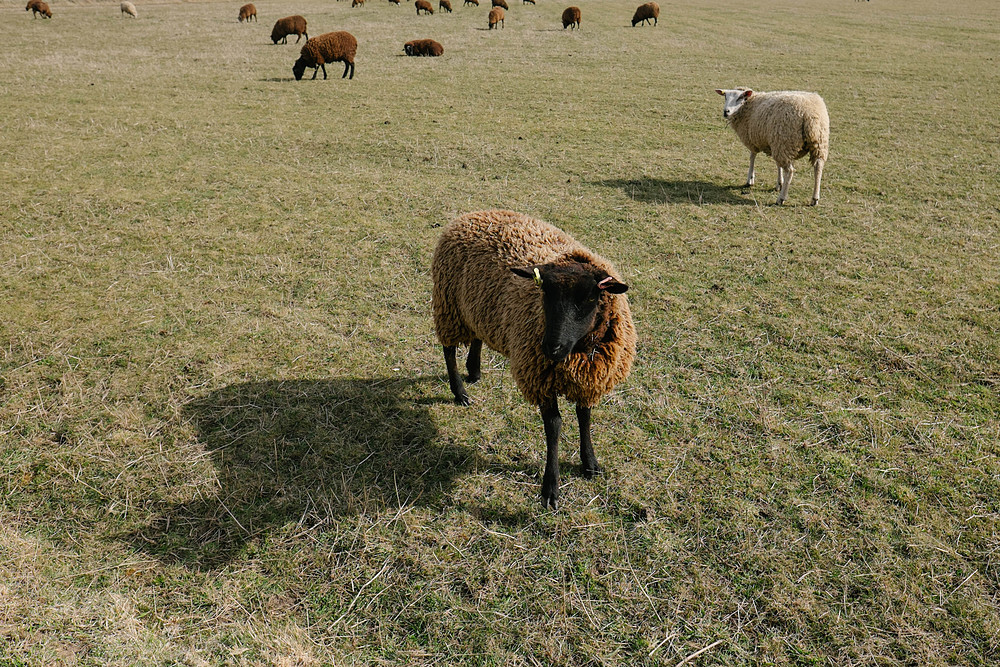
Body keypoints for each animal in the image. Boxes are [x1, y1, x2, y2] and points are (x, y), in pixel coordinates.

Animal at [432, 211, 636, 508]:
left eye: (590, 298)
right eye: (544, 293)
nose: (551, 348)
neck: (579, 351)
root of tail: (470, 215)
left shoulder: (589, 377)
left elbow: (584, 416)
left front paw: (590, 463)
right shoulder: (540, 377)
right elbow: (554, 425)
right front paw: (550, 489)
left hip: (478, 304)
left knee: (478, 335)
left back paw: (475, 370)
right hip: (449, 304)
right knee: (448, 350)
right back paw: (459, 392)